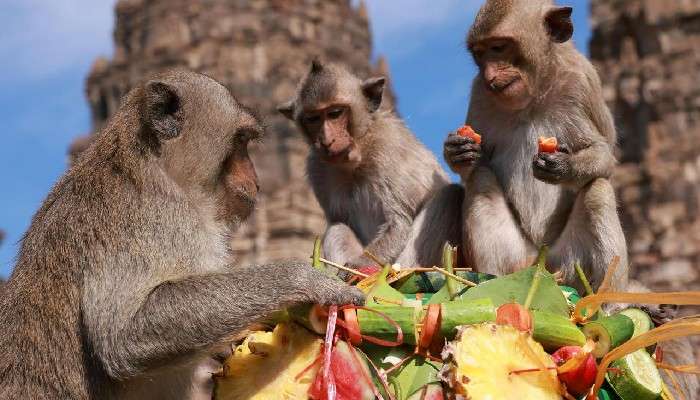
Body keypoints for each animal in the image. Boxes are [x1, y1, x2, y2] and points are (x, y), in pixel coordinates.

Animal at [0, 69, 360, 400]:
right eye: (240, 142)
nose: (256, 180)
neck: (156, 165)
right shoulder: (157, 217)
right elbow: (122, 337)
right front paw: (304, 279)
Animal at [446, 0, 696, 396]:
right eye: (480, 54)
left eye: (499, 48)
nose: (490, 73)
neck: (533, 96)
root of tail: (542, 264)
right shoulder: (479, 95)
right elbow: (475, 167)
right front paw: (458, 152)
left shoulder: (582, 83)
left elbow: (604, 157)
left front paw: (563, 166)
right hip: (518, 258)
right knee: (483, 180)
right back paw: (484, 283)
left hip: (570, 265)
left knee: (598, 191)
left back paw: (611, 311)